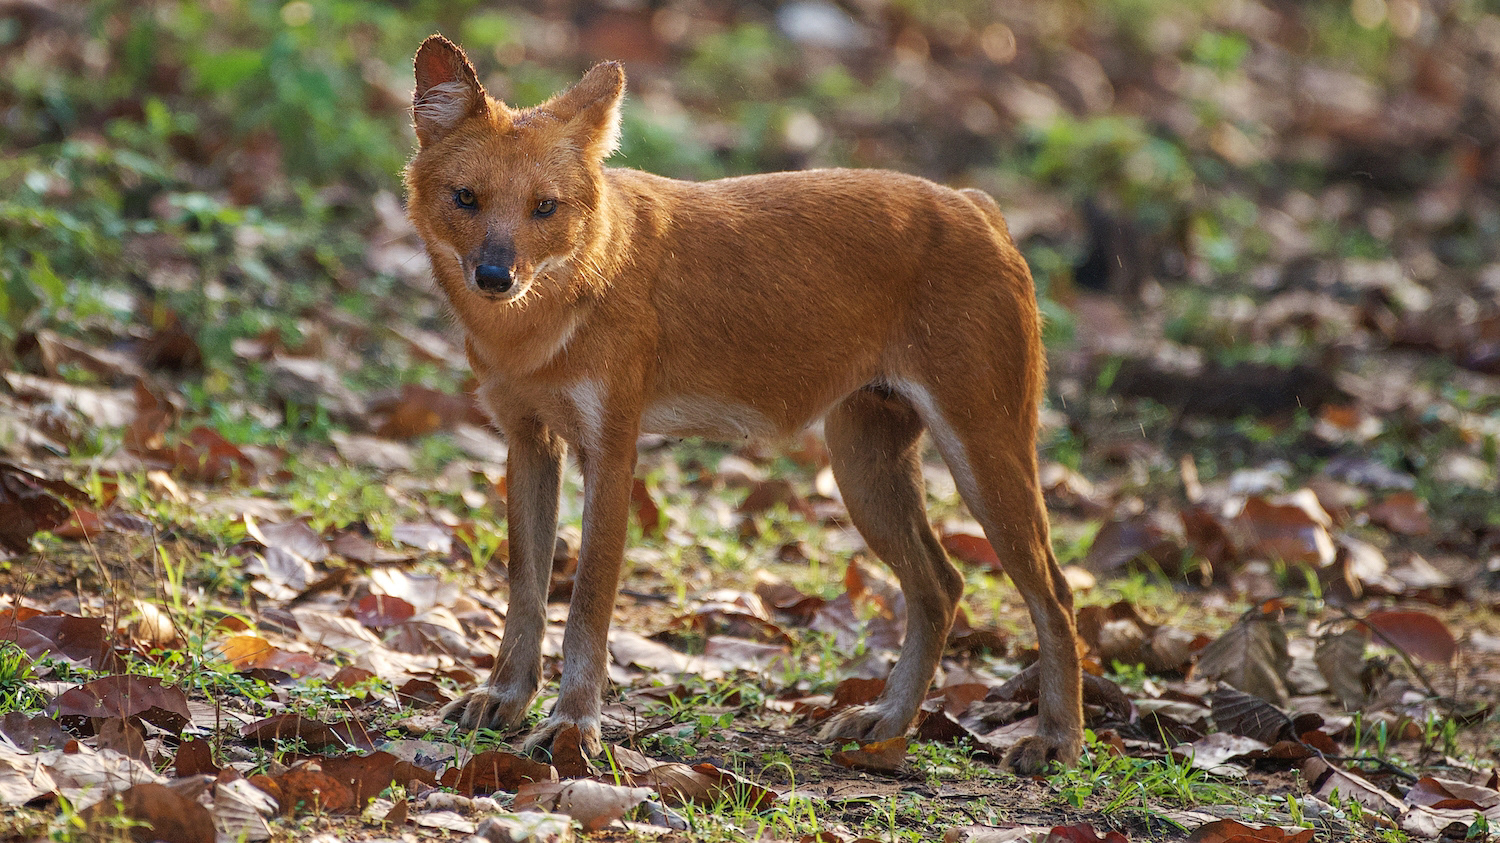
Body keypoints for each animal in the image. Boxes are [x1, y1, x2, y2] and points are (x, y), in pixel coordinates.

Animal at [405, 35, 1084, 774]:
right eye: (466, 198)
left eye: (545, 208)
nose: (494, 276)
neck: (537, 323)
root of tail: (975, 204)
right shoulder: (528, 439)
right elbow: (525, 588)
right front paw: (504, 698)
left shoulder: (611, 450)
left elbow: (587, 601)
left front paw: (571, 729)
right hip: (864, 467)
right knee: (943, 584)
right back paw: (887, 722)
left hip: (984, 452)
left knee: (1055, 593)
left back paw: (1057, 740)